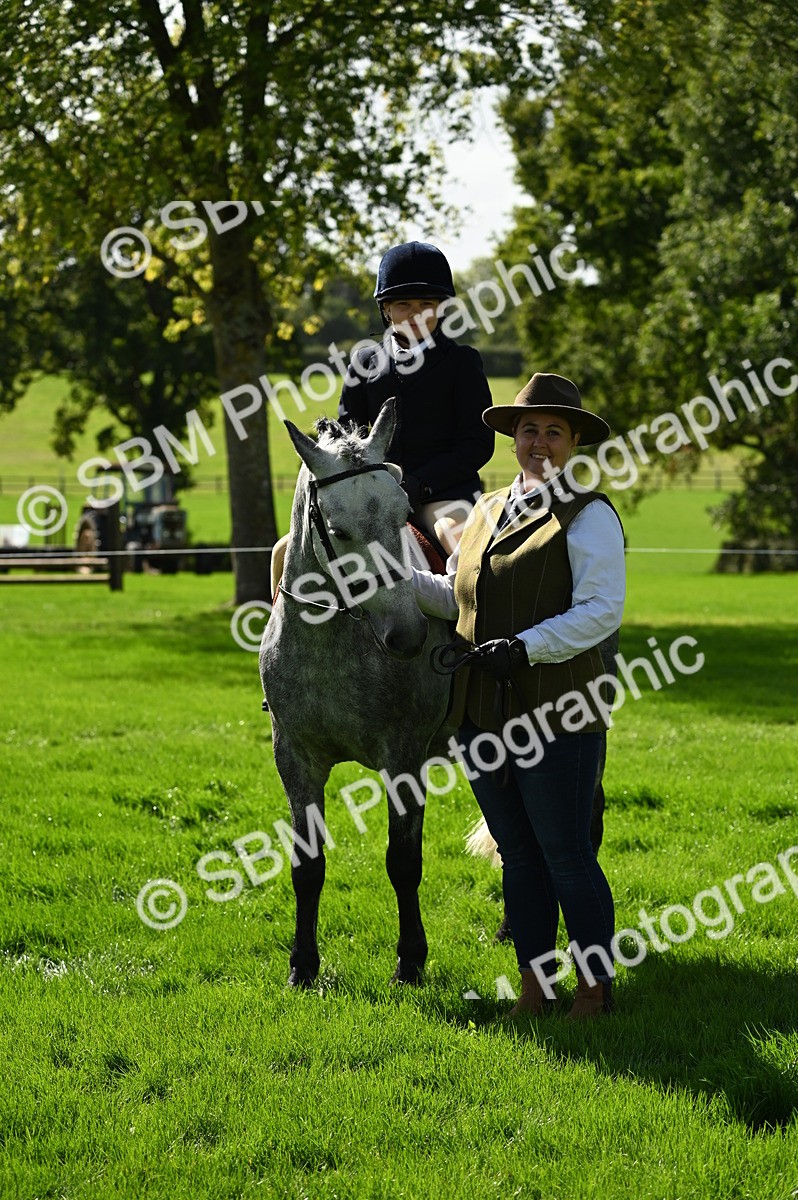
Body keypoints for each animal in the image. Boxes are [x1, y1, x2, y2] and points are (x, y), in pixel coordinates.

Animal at [259, 397, 451, 987]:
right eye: (337, 531)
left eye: (401, 513)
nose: (408, 635)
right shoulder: (295, 760)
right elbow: (307, 866)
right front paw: (302, 965)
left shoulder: (404, 759)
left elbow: (403, 863)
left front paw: (410, 960)